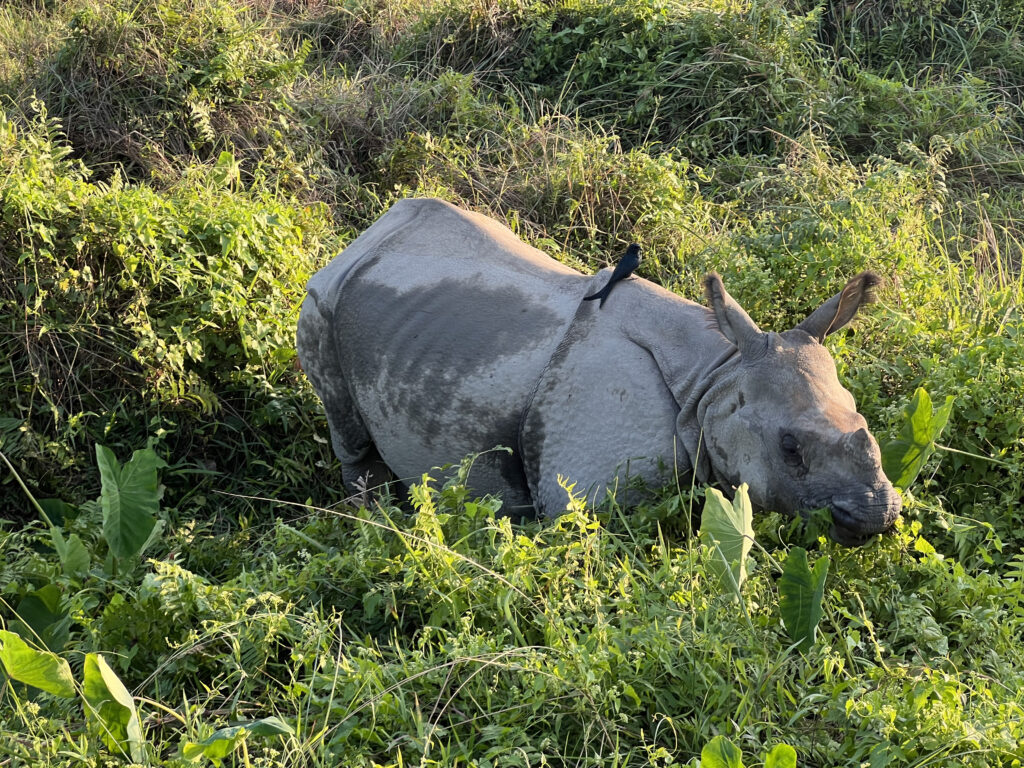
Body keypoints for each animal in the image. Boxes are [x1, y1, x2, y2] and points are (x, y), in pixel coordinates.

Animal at [297, 197, 900, 546]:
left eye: (863, 420)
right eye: (790, 448)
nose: (876, 515)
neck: (713, 379)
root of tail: (369, 234)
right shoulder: (581, 495)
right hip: (320, 298)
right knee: (346, 426)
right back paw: (375, 519)